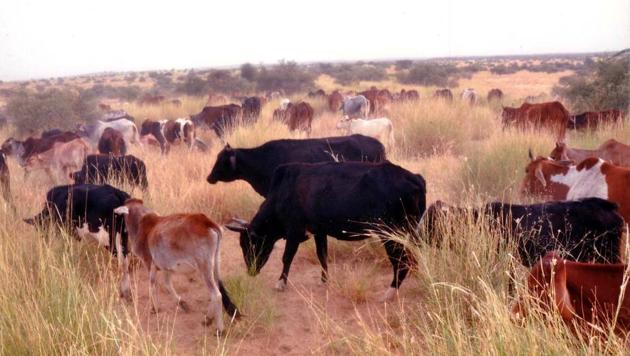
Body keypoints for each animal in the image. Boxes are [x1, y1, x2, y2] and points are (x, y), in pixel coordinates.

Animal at [112, 199, 241, 332]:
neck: (142, 225)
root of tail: (206, 222)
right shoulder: (166, 267)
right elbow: (167, 284)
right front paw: (182, 304)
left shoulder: (149, 263)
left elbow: (152, 285)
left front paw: (155, 308)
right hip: (214, 264)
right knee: (217, 291)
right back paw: (208, 319)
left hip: (204, 267)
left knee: (216, 295)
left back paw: (219, 329)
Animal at [225, 160, 428, 298]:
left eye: (249, 244)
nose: (251, 271)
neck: (284, 191)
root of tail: (414, 177)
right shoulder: (319, 232)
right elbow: (322, 255)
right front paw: (324, 280)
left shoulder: (294, 232)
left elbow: (287, 257)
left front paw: (281, 283)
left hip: (390, 234)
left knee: (400, 261)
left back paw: (390, 292)